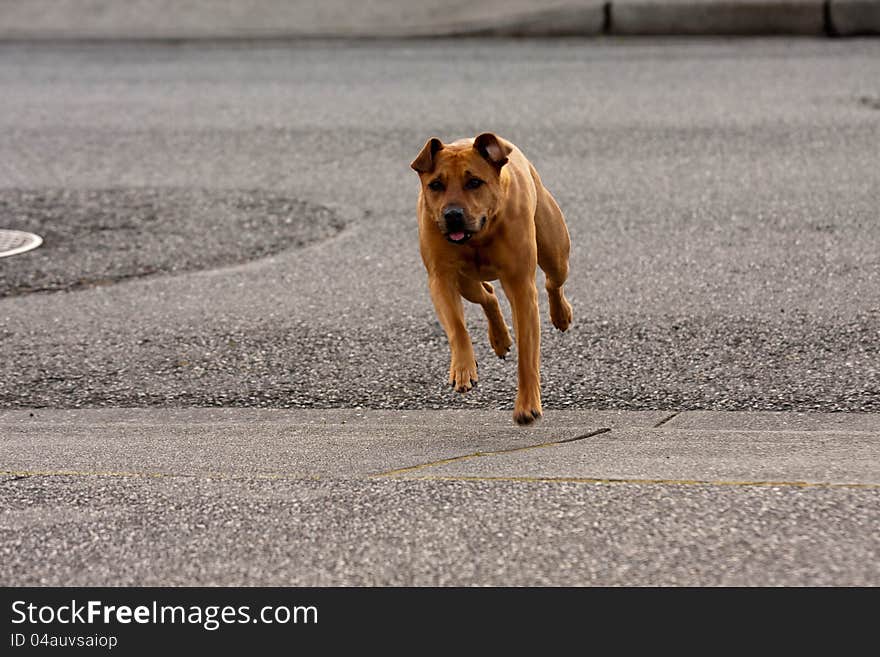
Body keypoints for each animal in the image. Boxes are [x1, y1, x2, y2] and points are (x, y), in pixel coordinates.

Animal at [410, 133, 576, 426]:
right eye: (436, 185)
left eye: (474, 182)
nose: (452, 215)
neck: (480, 235)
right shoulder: (440, 279)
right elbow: (457, 326)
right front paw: (463, 368)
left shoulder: (521, 286)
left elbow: (527, 353)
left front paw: (528, 405)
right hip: (465, 281)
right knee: (487, 295)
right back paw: (499, 338)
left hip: (555, 252)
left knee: (552, 282)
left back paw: (561, 314)